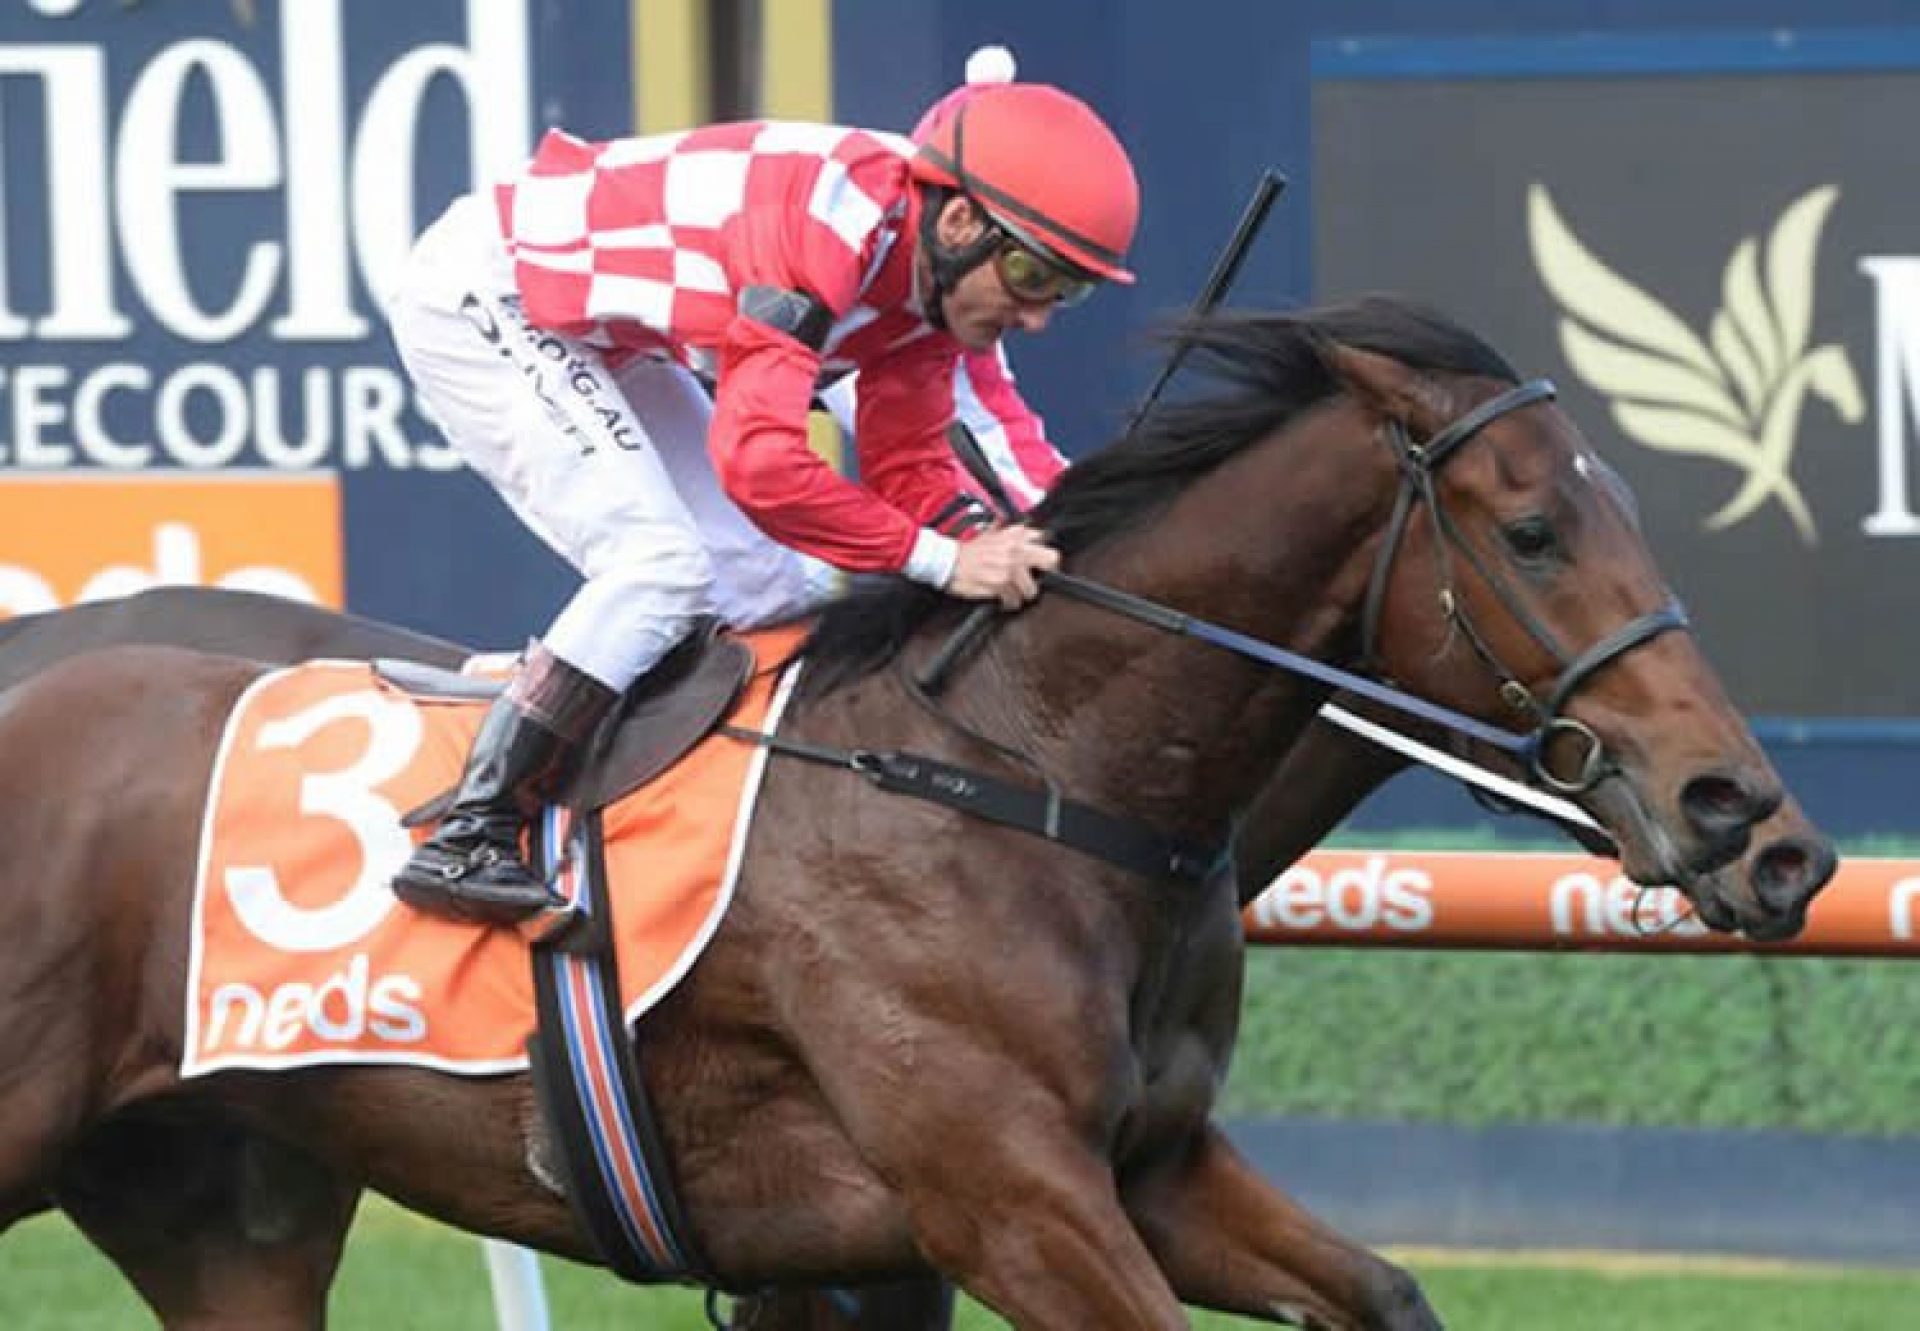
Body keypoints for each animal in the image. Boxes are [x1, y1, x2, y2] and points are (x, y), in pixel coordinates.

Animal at [0, 301, 1820, 1329]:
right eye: (1531, 531)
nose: (1756, 819)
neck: (1030, 775)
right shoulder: (998, 1199)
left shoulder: (1149, 1167)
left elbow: (1383, 1290)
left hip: (217, 1200)